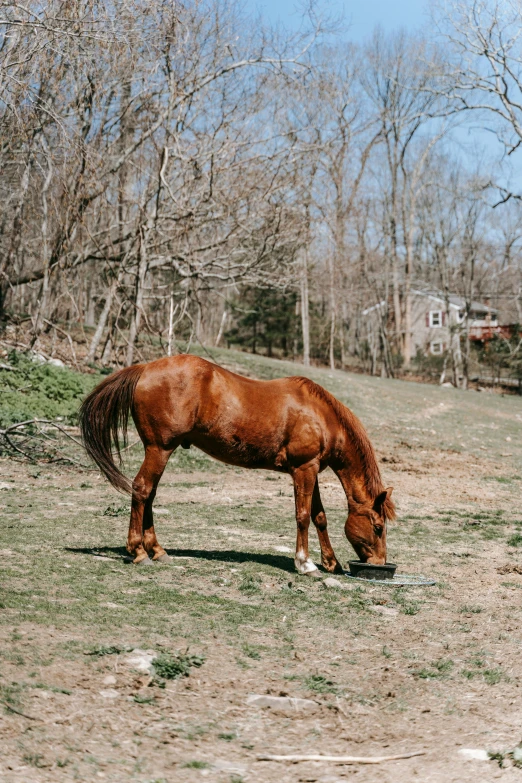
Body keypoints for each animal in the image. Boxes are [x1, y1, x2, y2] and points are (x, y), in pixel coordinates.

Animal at [79, 356, 392, 576]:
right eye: (378, 527)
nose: (379, 562)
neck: (320, 416)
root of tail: (145, 368)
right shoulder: (304, 469)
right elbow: (303, 516)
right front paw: (305, 564)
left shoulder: (310, 470)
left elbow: (319, 517)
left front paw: (330, 562)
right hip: (159, 450)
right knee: (142, 489)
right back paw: (139, 552)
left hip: (159, 452)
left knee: (150, 494)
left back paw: (156, 549)